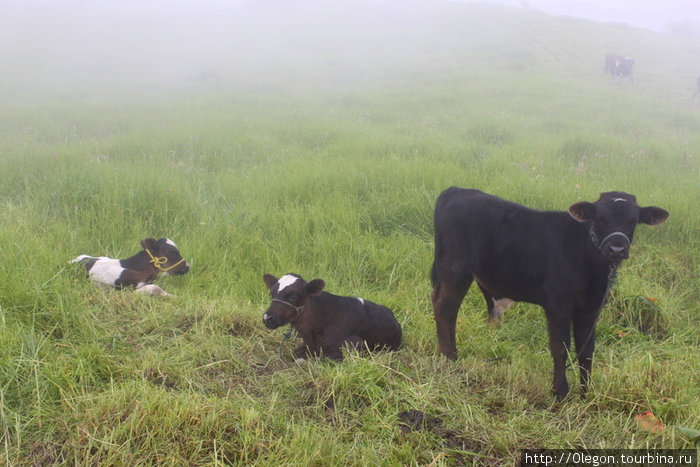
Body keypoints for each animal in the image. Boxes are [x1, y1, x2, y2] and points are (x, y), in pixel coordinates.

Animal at [262, 274, 402, 362]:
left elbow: (323, 358)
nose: (267, 317)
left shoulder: (357, 345)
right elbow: (296, 352)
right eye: (272, 293)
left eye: (293, 296)